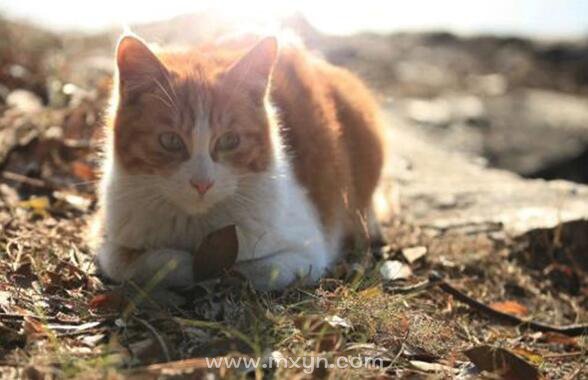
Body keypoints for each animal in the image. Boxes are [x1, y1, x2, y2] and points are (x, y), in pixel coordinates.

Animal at [91, 32, 384, 290]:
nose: (202, 184)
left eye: (229, 140)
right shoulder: (107, 240)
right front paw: (190, 264)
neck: (197, 226)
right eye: (171, 140)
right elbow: (148, 262)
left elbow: (259, 268)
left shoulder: (308, 248)